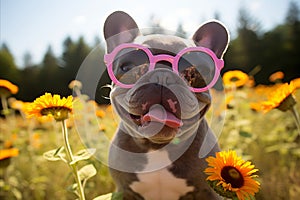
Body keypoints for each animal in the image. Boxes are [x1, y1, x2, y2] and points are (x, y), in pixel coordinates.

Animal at [102, 11, 227, 200]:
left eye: (197, 73)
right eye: (127, 67)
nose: (162, 75)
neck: (157, 147)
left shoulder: (209, 193)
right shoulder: (125, 191)